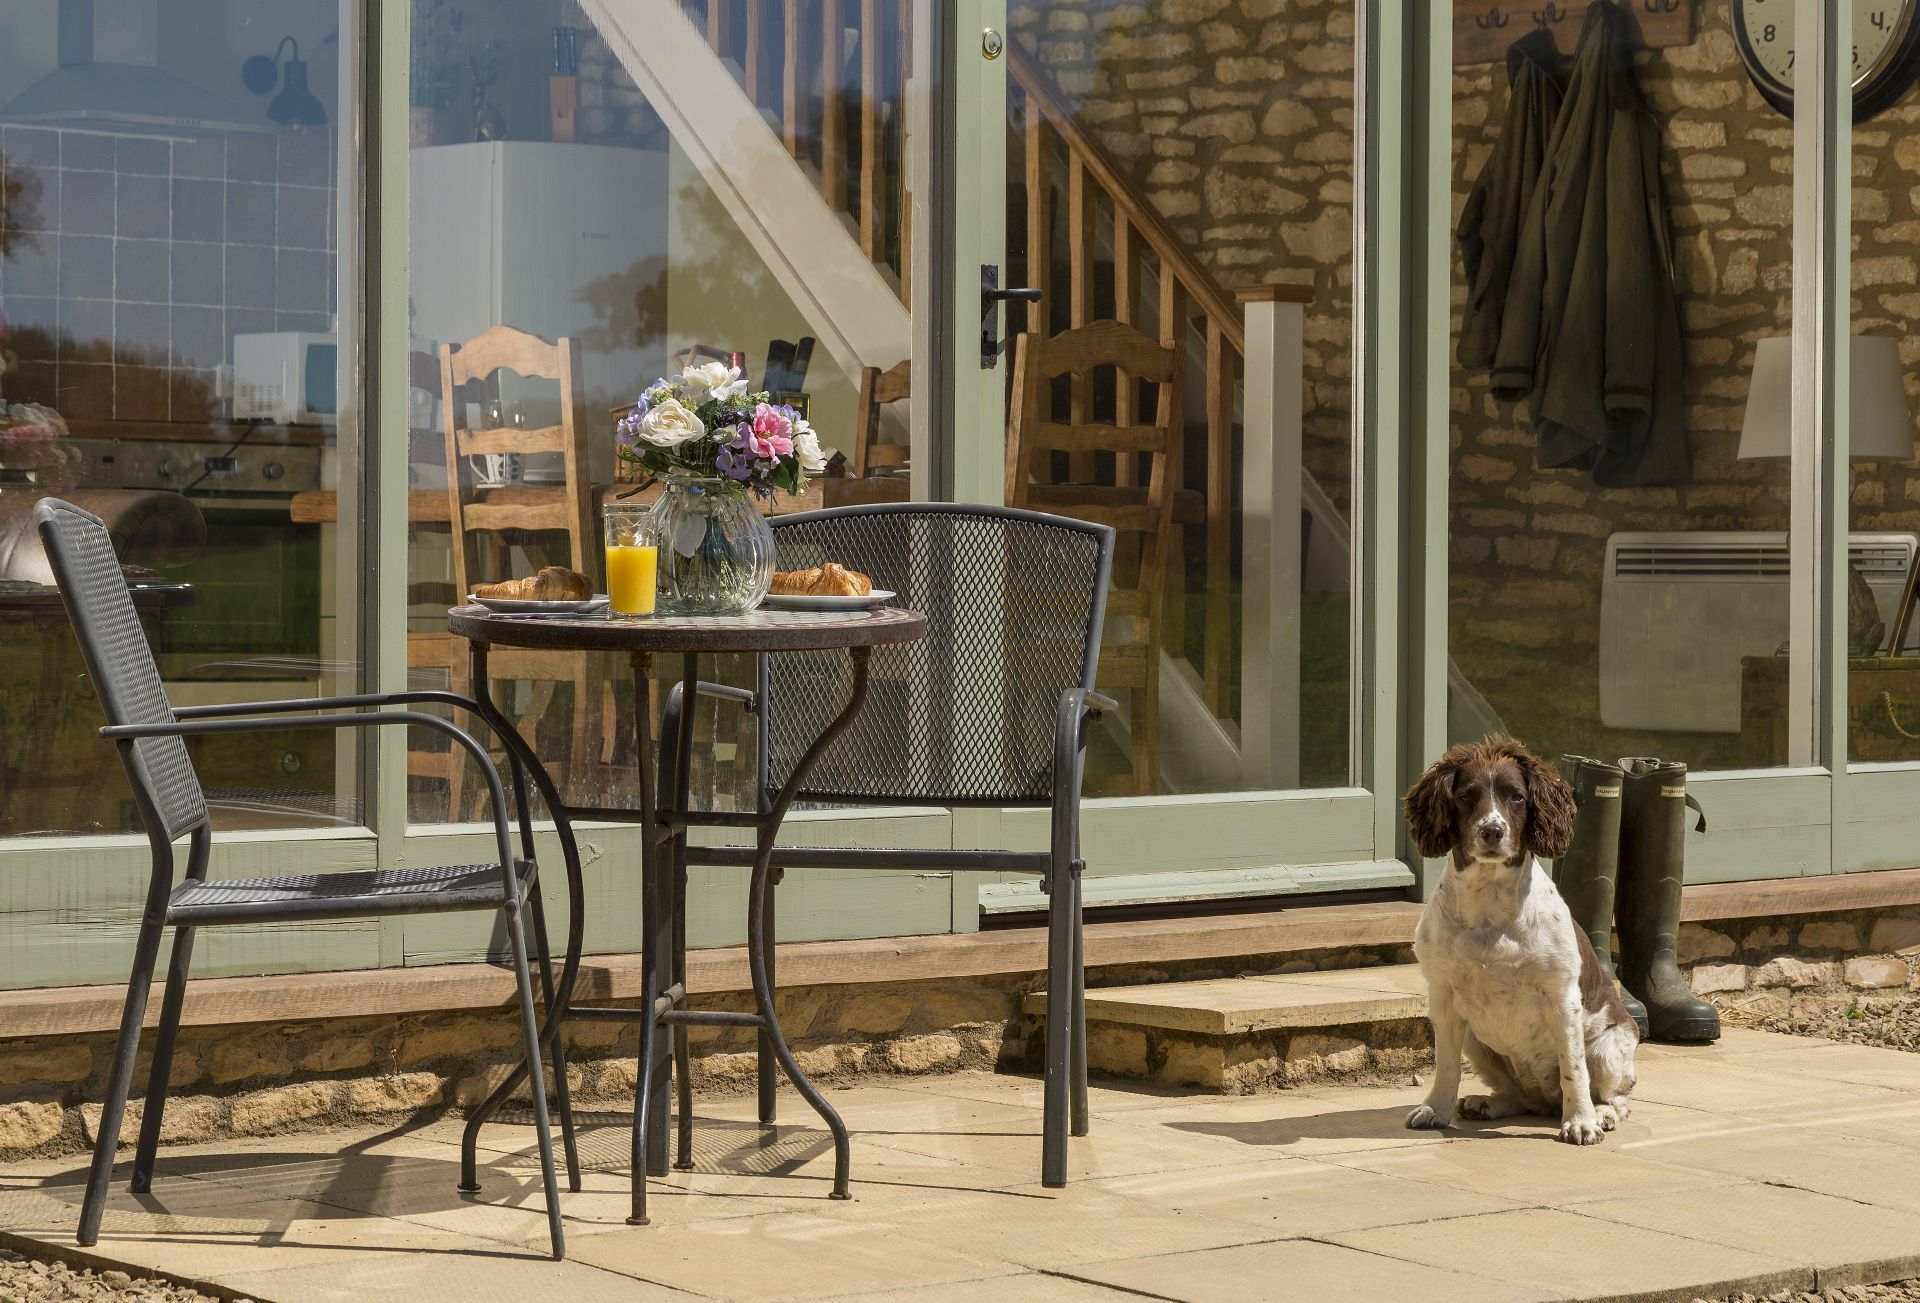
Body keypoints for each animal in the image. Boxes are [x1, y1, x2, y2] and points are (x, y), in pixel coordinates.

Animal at [1397, 740, 1635, 1143]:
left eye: (1517, 798)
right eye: (1465, 796)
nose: (1492, 830)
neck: (1490, 905)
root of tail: (1546, 1102)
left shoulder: (1562, 999)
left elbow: (1574, 1069)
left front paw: (1581, 1122)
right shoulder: (1443, 996)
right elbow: (1446, 1064)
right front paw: (1437, 1109)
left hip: (1609, 1046)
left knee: (1616, 1097)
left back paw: (1601, 1113)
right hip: (1477, 1041)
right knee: (1520, 1097)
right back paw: (1487, 1104)